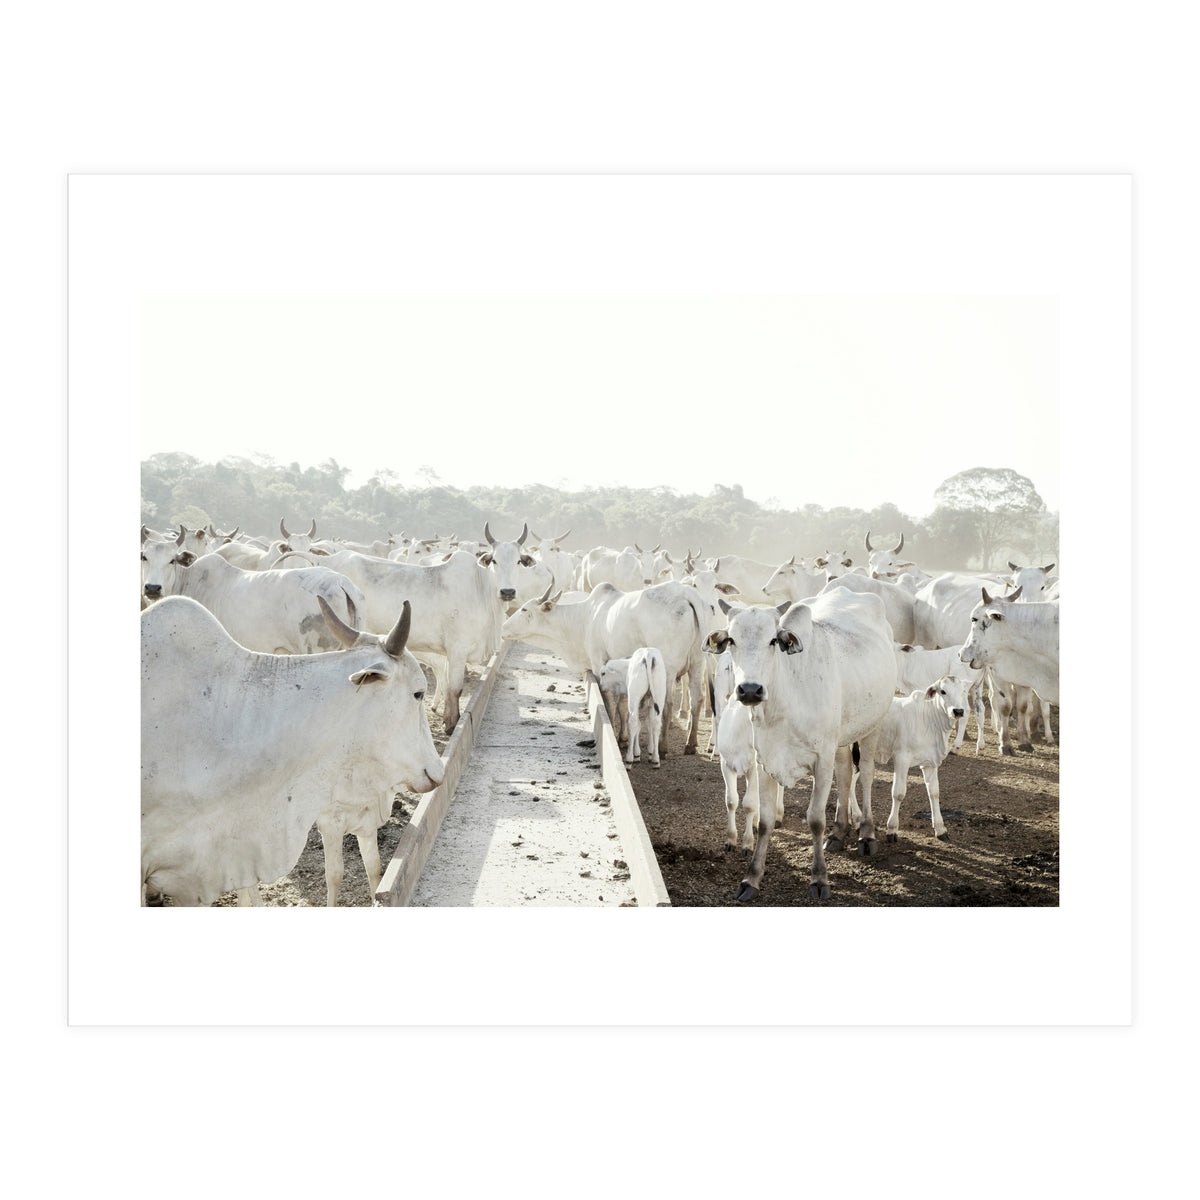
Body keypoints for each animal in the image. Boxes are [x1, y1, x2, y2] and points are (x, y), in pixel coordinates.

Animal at [501, 580, 708, 756]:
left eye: (524, 609)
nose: (503, 628)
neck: (585, 618)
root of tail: (685, 592)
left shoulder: (598, 663)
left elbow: (609, 702)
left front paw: (614, 733)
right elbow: (623, 705)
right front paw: (624, 738)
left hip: (668, 669)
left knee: (667, 704)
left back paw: (663, 747)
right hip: (697, 663)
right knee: (697, 699)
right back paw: (691, 744)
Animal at [708, 588, 896, 901]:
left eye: (773, 640)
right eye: (732, 640)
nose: (749, 690)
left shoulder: (821, 760)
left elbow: (815, 819)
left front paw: (819, 879)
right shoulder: (765, 761)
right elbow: (764, 822)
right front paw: (751, 878)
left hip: (874, 724)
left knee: (867, 774)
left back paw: (866, 834)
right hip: (840, 739)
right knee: (845, 773)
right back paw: (839, 831)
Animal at [854, 675, 974, 844]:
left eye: (963, 691)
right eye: (943, 691)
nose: (958, 711)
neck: (929, 720)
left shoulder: (930, 763)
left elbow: (934, 793)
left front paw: (940, 829)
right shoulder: (901, 758)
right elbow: (898, 793)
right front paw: (892, 829)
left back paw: (856, 820)